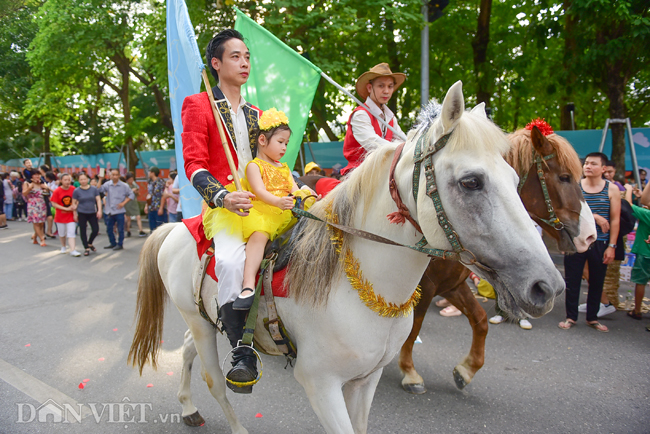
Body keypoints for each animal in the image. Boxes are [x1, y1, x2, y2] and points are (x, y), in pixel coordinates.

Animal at [129, 82, 564, 434]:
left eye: (516, 179)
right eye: (471, 182)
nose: (548, 286)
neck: (358, 285)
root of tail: (178, 226)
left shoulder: (364, 381)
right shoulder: (321, 384)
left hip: (203, 317)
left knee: (188, 349)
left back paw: (188, 408)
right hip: (198, 319)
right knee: (215, 380)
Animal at [398, 123, 596, 394]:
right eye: (564, 177)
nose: (590, 235)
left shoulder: (452, 285)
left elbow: (480, 320)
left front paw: (467, 369)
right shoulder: (424, 288)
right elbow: (413, 326)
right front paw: (410, 372)